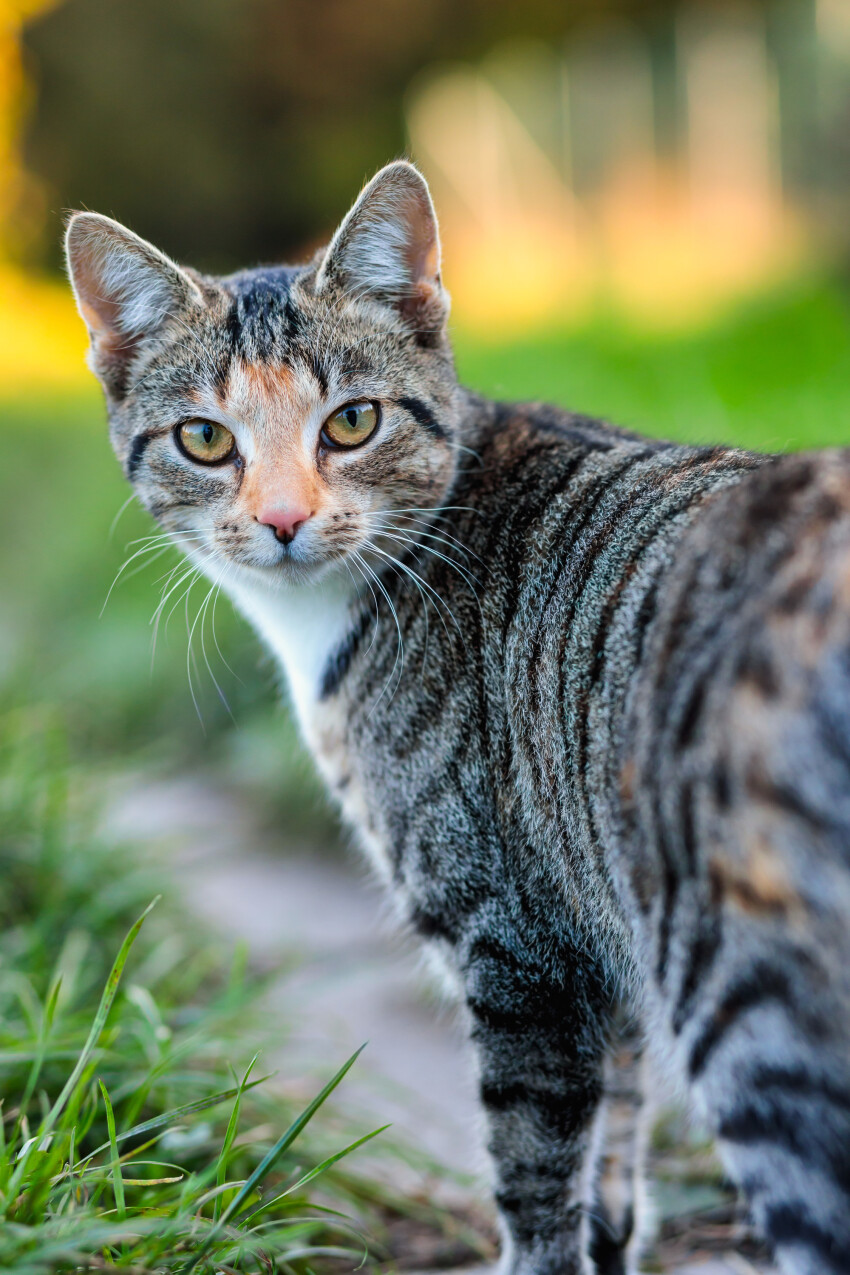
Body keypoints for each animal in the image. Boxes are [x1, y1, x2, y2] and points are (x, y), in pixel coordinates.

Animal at [64, 161, 850, 1275]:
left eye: (351, 421)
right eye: (205, 439)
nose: (283, 518)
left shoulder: (518, 948)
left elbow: (534, 1167)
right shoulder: (591, 949)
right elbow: (611, 1141)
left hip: (750, 1001)